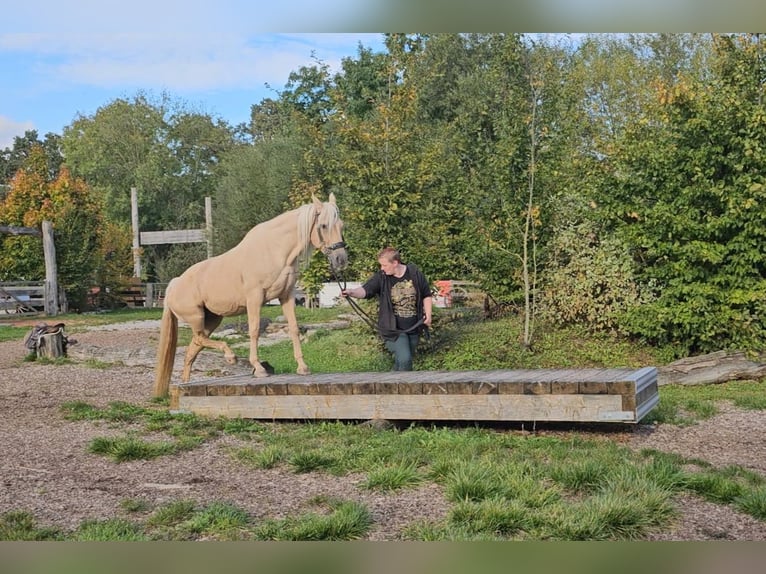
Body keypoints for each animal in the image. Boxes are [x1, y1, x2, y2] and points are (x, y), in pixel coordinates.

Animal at [152, 193, 347, 398]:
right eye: (323, 225)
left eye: (341, 225)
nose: (341, 260)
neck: (274, 250)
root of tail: (173, 285)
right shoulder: (255, 299)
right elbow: (254, 331)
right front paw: (259, 369)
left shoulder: (286, 296)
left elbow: (294, 329)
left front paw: (303, 367)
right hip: (196, 317)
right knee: (199, 340)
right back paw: (230, 357)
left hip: (212, 320)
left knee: (193, 349)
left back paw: (186, 383)